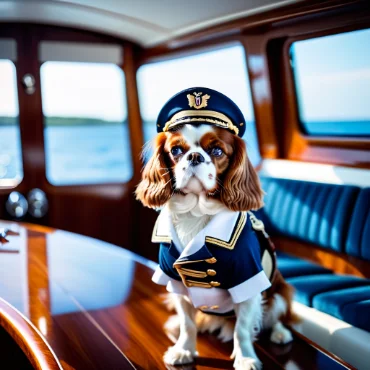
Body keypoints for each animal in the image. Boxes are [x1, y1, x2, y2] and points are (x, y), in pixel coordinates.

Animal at [135, 87, 298, 370]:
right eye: (176, 150)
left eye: (217, 151)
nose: (194, 156)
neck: (196, 214)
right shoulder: (175, 281)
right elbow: (188, 323)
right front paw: (183, 350)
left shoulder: (248, 280)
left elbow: (242, 329)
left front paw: (245, 358)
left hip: (280, 291)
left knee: (276, 316)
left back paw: (279, 333)